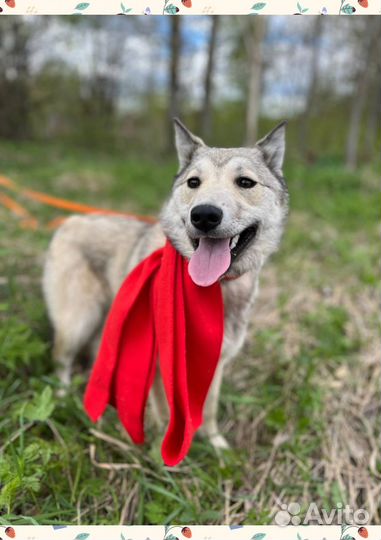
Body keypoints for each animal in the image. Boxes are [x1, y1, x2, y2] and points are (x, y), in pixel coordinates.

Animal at [42, 119, 288, 452]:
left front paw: (216, 446)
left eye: (246, 182)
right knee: (60, 361)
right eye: (194, 182)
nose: (204, 215)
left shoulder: (215, 363)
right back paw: (64, 397)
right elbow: (164, 415)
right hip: (77, 321)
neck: (214, 289)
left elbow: (209, 410)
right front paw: (161, 453)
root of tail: (70, 221)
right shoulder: (160, 366)